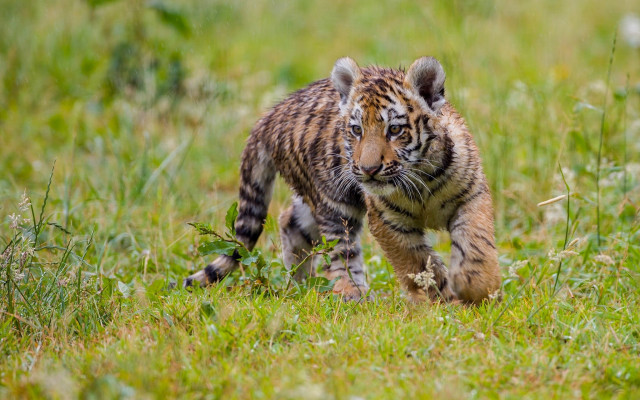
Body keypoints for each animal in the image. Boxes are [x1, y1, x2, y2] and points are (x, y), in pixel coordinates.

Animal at [185, 56, 502, 303]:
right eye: (357, 130)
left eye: (395, 130)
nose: (368, 169)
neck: (422, 178)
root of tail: (270, 116)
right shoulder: (388, 221)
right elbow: (418, 263)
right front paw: (443, 299)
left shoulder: (471, 195)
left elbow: (476, 241)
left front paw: (475, 286)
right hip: (333, 201)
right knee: (339, 250)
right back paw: (350, 292)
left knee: (290, 221)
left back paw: (301, 284)